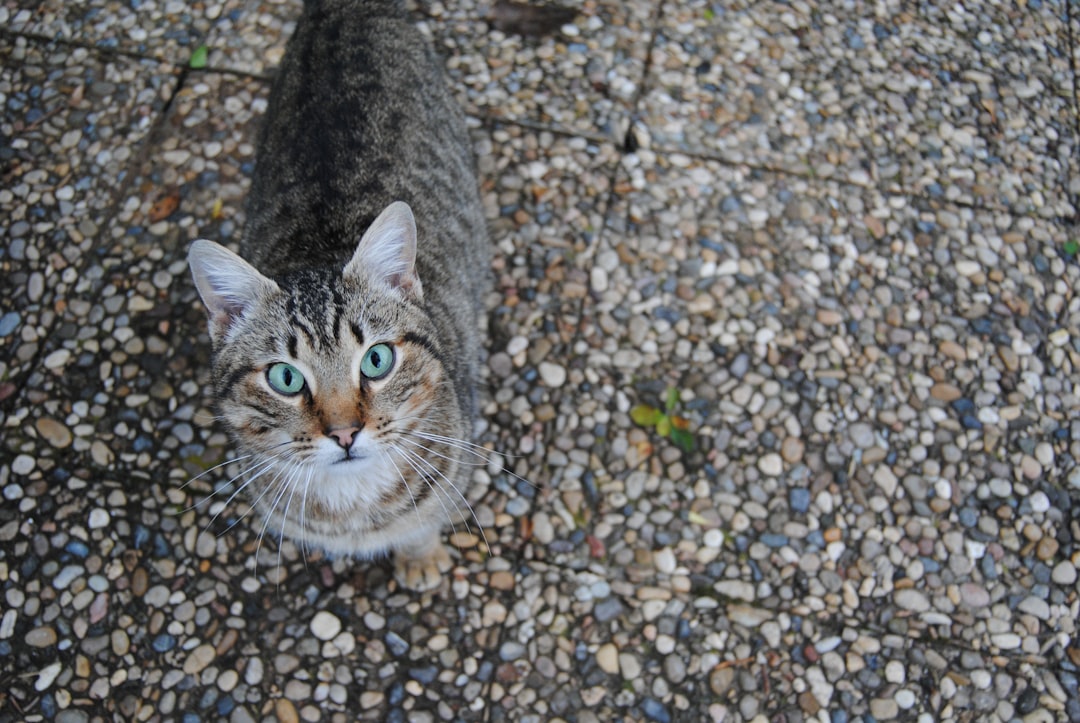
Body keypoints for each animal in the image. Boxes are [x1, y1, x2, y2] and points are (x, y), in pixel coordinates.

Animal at [187, 0, 488, 587]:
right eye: (284, 378)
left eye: (376, 360)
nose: (346, 433)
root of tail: (341, 9)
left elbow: (424, 521)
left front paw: (421, 556)